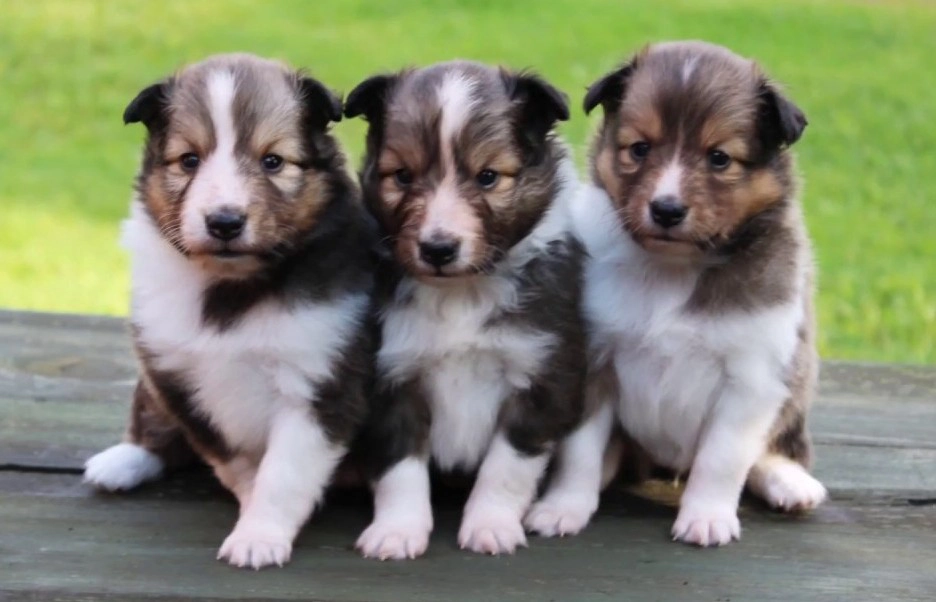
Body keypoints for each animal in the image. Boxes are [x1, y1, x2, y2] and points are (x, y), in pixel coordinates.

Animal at [84, 52, 376, 568]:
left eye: (273, 161)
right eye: (189, 160)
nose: (224, 221)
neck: (230, 285)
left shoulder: (321, 383)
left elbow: (281, 474)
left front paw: (259, 536)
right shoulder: (178, 381)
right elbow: (236, 463)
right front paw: (253, 516)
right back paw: (120, 462)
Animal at [344, 62, 600, 556]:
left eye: (487, 177)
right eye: (402, 176)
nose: (438, 249)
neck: (461, 293)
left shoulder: (541, 375)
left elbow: (505, 468)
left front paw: (490, 526)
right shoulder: (390, 376)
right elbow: (400, 468)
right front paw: (397, 531)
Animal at [576, 42, 828, 548]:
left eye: (719, 158)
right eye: (639, 148)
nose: (666, 210)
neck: (674, 268)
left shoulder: (750, 378)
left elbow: (722, 458)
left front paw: (706, 519)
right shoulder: (596, 358)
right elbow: (579, 453)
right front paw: (560, 510)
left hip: (795, 383)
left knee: (770, 450)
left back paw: (790, 483)